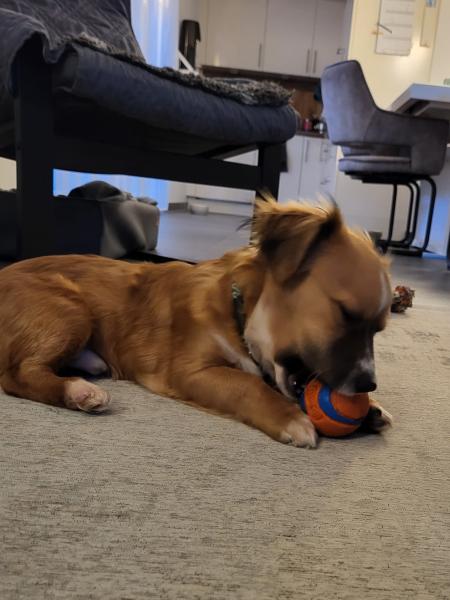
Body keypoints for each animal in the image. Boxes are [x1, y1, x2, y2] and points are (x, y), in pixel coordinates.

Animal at [0, 199, 392, 448]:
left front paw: (371, 410)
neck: (238, 312)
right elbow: (248, 385)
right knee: (16, 375)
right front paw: (289, 418)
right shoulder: (190, 370)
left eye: (378, 330)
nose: (368, 384)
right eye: (345, 314)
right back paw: (79, 391)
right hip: (70, 310)